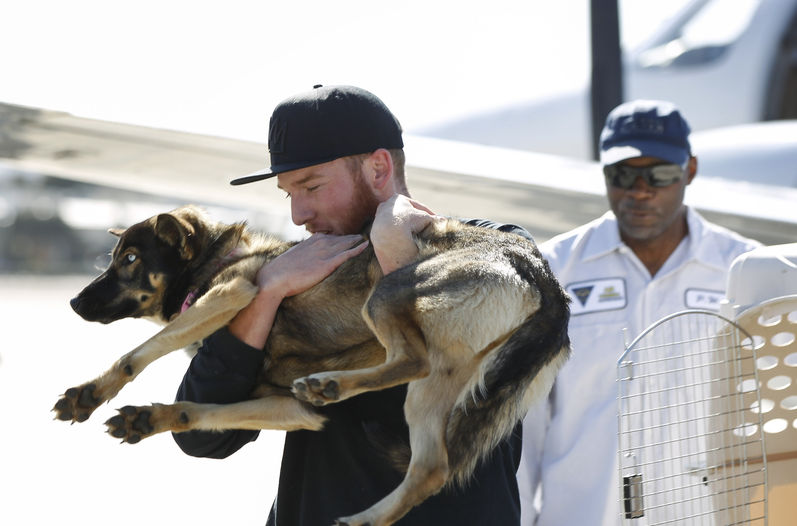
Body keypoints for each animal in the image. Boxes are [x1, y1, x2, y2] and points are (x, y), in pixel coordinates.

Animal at [52, 205, 568, 526]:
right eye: (115, 258)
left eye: (130, 259)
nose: (74, 302)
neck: (216, 261)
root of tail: (542, 277)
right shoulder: (290, 409)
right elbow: (200, 412)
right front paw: (148, 417)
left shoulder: (232, 293)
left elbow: (138, 353)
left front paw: (89, 393)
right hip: (447, 381)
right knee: (431, 468)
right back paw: (367, 512)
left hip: (389, 297)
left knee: (412, 364)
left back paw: (332, 385)